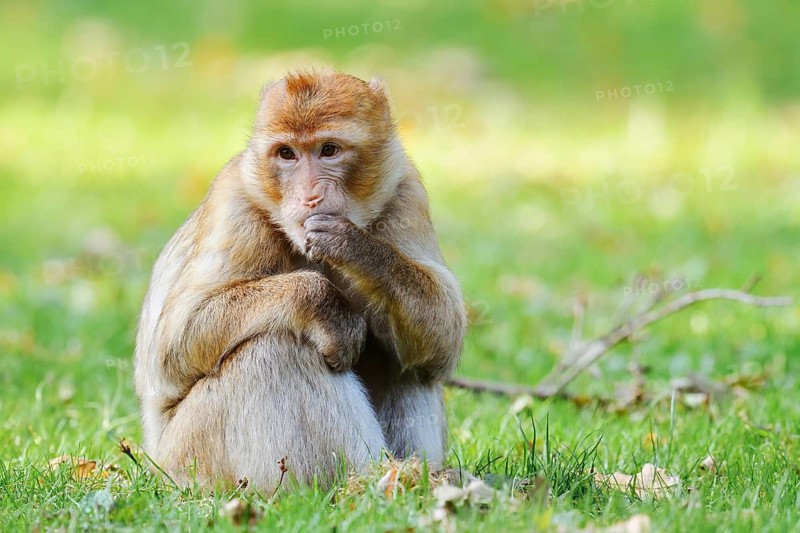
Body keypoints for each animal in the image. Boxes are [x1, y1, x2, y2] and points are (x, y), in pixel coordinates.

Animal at [134, 70, 466, 492]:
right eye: (287, 154)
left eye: (328, 150)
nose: (309, 196)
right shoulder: (236, 205)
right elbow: (173, 344)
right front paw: (327, 307)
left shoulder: (406, 191)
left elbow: (445, 333)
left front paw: (353, 247)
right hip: (191, 460)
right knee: (274, 349)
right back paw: (367, 482)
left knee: (406, 360)